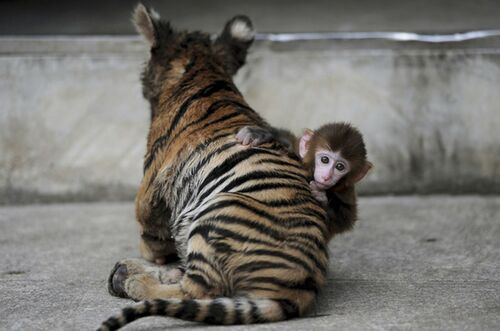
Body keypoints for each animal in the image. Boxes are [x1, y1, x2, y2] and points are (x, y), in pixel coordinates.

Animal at [237, 123, 372, 237]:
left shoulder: (346, 191)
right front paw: (260, 133)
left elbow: (344, 220)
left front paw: (321, 197)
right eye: (325, 160)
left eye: (340, 167)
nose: (327, 177)